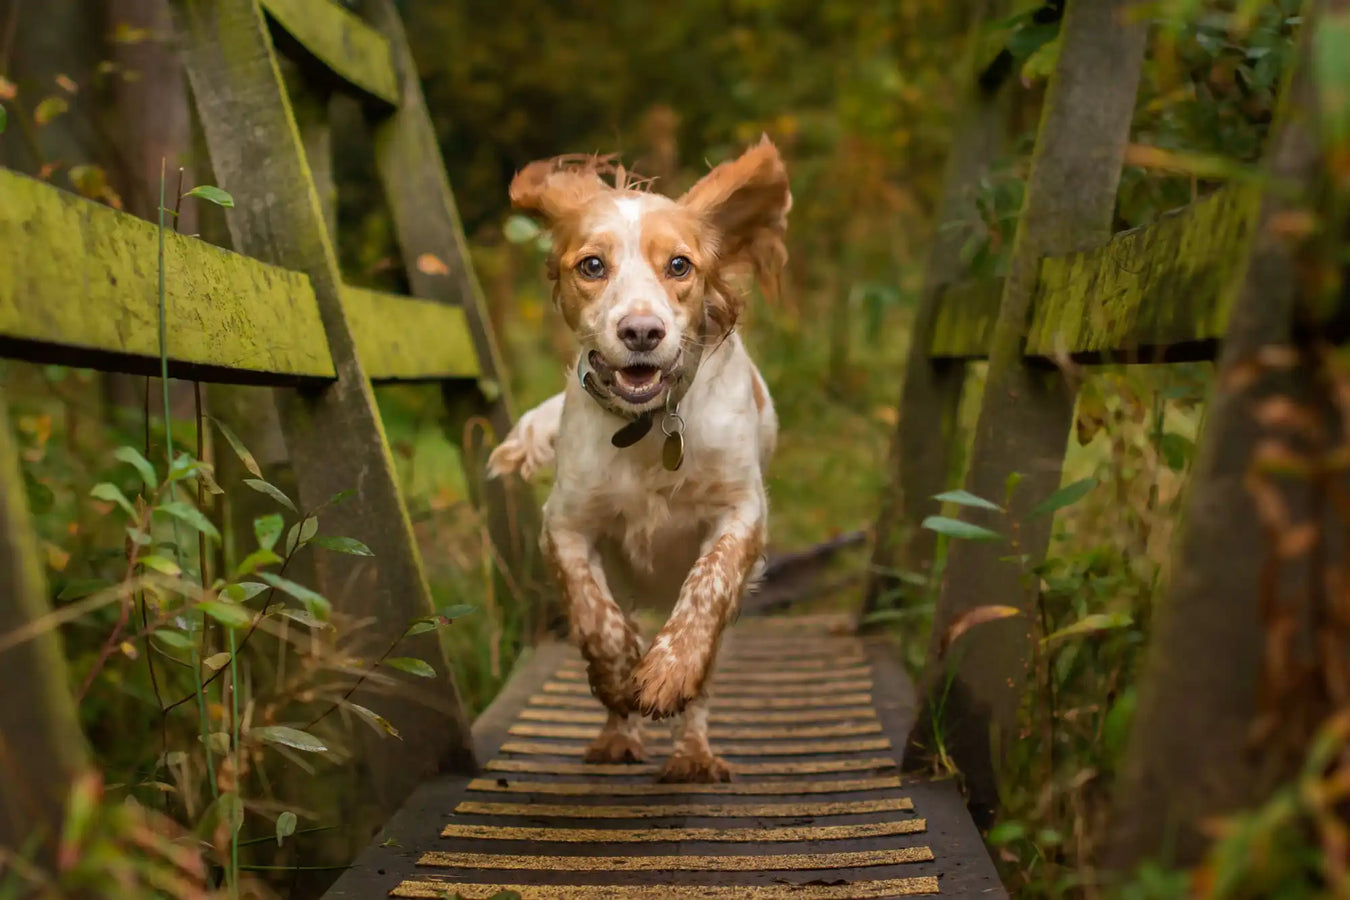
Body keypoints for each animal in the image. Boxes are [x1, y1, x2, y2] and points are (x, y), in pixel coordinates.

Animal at [488, 135, 788, 782]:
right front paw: (621, 673)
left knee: (703, 687)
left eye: (679, 265)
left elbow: (705, 588)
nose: (642, 332)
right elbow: (596, 620)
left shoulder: (742, 511)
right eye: (591, 266)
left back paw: (692, 754)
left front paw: (667, 671)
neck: (648, 426)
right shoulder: (565, 525)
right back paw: (616, 737)